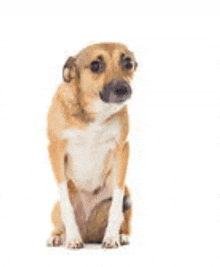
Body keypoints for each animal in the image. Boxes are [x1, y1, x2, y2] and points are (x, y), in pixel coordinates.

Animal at [46, 43, 138, 250]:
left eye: (128, 63)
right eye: (95, 65)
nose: (123, 88)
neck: (96, 110)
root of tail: (88, 232)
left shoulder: (122, 149)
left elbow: (116, 203)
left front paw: (111, 237)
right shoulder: (55, 149)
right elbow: (66, 204)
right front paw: (72, 238)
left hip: (128, 193)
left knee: (125, 215)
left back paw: (122, 235)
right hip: (57, 205)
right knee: (60, 218)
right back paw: (58, 237)